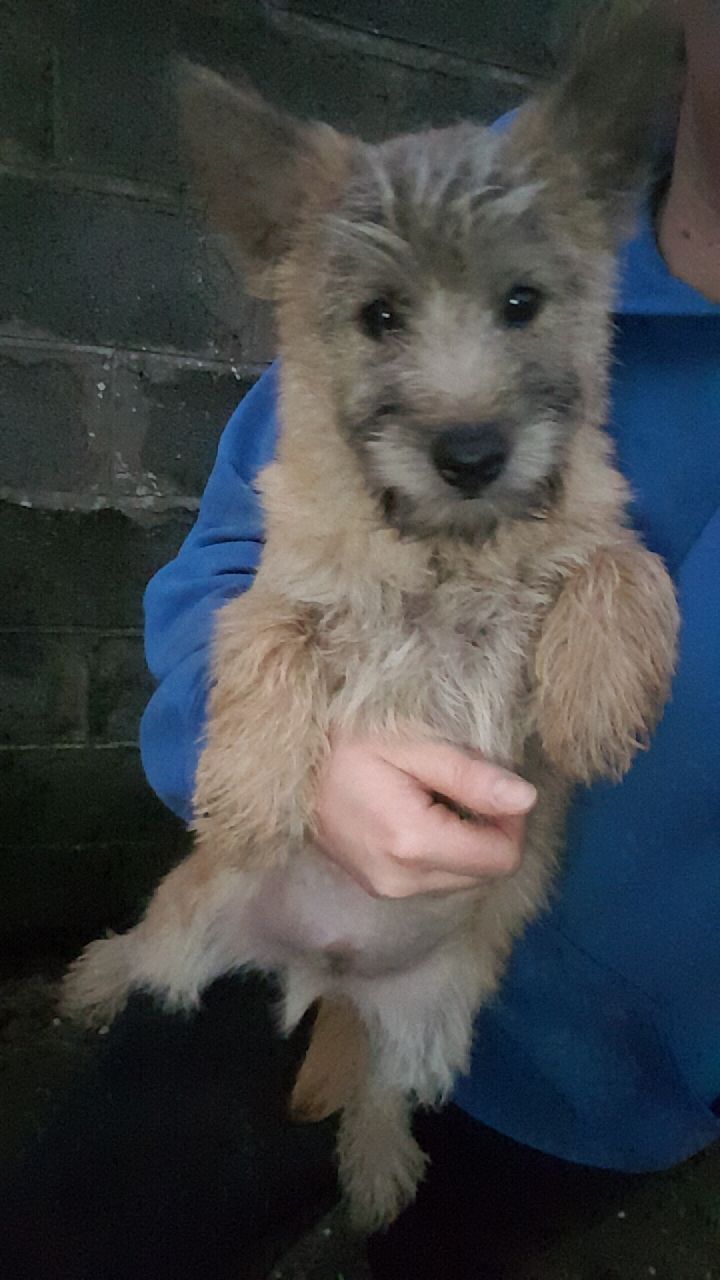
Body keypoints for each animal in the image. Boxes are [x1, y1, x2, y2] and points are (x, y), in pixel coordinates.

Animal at [64, 10, 676, 1228]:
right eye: (378, 317)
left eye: (522, 303)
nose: (472, 452)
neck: (446, 546)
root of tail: (328, 969)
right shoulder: (284, 579)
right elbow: (262, 640)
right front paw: (252, 782)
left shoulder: (596, 516)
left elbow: (623, 564)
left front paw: (593, 698)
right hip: (193, 910)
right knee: (149, 948)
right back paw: (97, 978)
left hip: (435, 1017)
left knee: (386, 1085)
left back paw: (380, 1169)